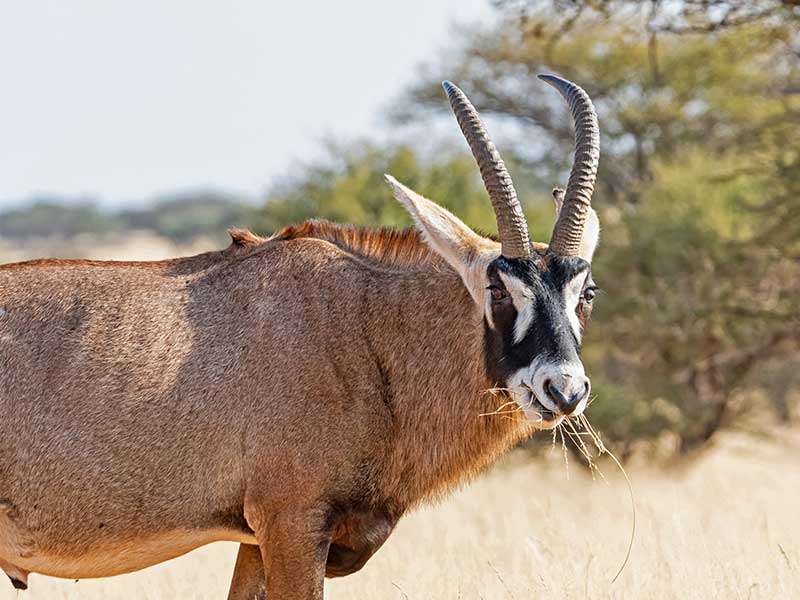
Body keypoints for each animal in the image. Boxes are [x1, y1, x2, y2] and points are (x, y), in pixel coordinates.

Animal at [0, 74, 600, 596]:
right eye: (498, 289)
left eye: (586, 291)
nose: (563, 390)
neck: (367, 329)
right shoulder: (291, 521)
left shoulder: (256, 541)